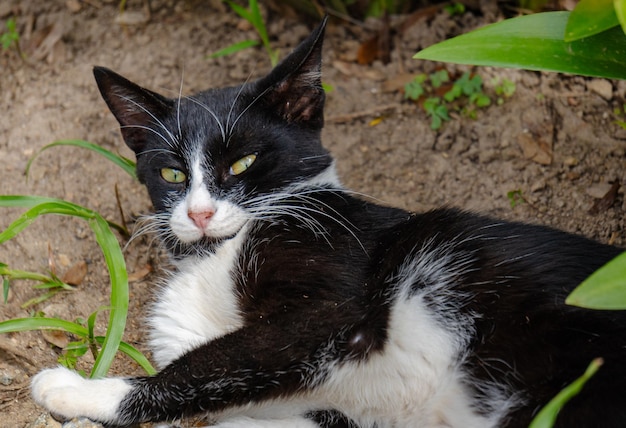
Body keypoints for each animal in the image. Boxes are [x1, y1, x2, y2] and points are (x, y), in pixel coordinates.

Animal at [30, 17, 624, 428]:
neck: (213, 258)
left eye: (242, 164)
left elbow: (208, 363)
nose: (199, 213)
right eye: (172, 173)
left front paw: (81, 389)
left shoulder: (333, 306)